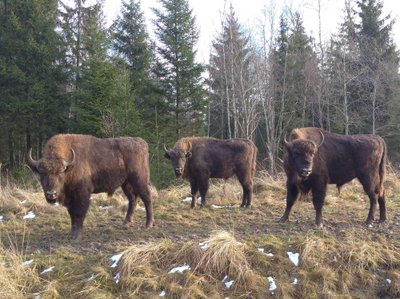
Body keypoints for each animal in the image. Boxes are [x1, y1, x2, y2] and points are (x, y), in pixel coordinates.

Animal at [27, 135, 155, 240]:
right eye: (42, 173)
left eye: (60, 172)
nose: (51, 194)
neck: (70, 166)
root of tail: (141, 142)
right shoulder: (70, 198)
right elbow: (72, 214)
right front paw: (72, 233)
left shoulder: (82, 194)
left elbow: (79, 213)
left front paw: (77, 236)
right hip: (126, 183)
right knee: (133, 199)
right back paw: (126, 223)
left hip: (139, 180)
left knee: (147, 198)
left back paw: (148, 224)